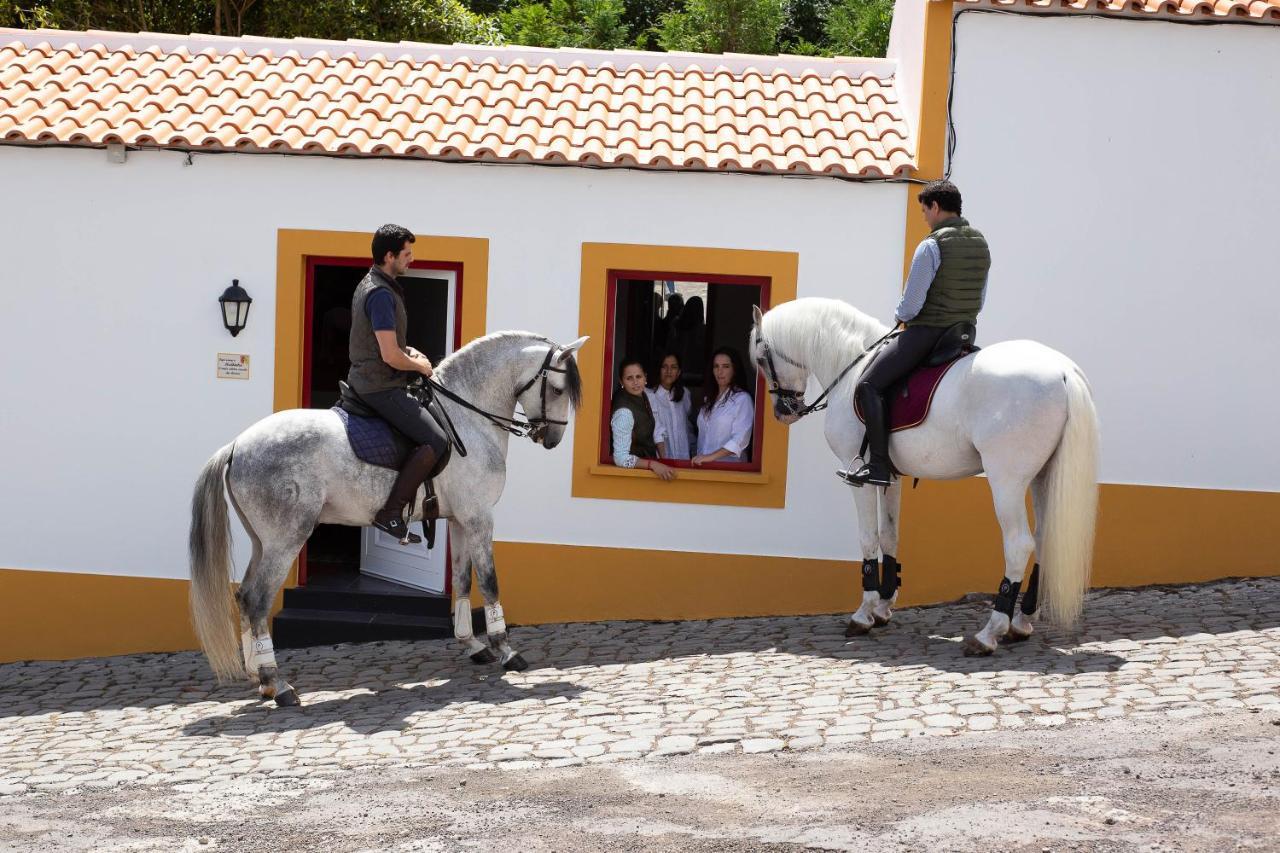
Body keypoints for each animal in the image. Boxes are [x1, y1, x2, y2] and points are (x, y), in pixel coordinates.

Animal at [186, 327, 586, 701]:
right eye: (558, 389)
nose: (551, 439)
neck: (468, 416)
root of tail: (237, 446)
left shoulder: (460, 519)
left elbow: (461, 581)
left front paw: (472, 645)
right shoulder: (478, 517)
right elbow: (489, 582)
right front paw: (505, 650)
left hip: (261, 541)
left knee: (243, 596)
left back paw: (258, 675)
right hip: (286, 539)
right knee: (257, 599)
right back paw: (277, 684)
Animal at [747, 298, 1100, 650]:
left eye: (762, 359)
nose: (784, 412)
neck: (851, 366)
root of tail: (1063, 372)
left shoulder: (855, 473)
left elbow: (868, 537)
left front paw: (863, 614)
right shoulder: (888, 476)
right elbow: (890, 535)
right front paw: (883, 607)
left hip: (1007, 481)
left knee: (1018, 544)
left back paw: (990, 633)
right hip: (1043, 477)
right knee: (1044, 538)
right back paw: (1021, 622)